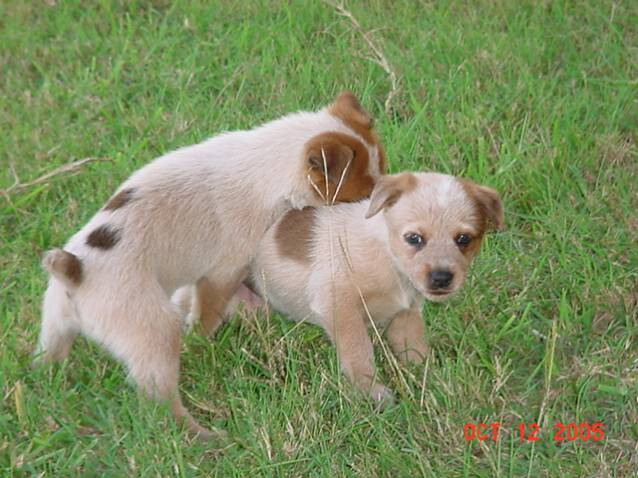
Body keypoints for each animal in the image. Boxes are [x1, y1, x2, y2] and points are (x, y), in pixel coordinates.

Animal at [37, 91, 388, 438]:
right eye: (362, 194)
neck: (267, 166)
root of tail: (74, 272)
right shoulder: (224, 271)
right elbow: (207, 314)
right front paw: (200, 341)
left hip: (55, 320)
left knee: (47, 356)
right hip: (154, 329)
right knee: (161, 399)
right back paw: (202, 435)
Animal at [184, 172, 504, 404]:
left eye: (464, 239)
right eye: (414, 238)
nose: (441, 277)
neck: (387, 256)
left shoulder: (406, 317)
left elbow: (416, 352)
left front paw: (430, 381)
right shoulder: (339, 304)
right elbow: (358, 350)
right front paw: (371, 392)